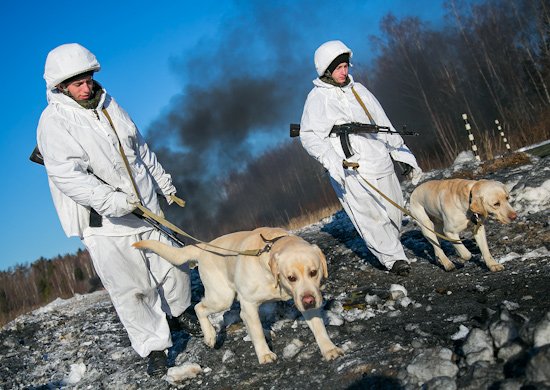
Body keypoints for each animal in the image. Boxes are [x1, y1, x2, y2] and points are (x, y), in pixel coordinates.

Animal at [132, 227, 342, 364]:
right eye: (291, 277)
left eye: (314, 272)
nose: (309, 301)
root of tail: (202, 248)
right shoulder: (248, 304)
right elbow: (256, 332)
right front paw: (264, 354)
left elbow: (318, 327)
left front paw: (329, 349)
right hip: (222, 297)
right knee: (200, 307)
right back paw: (210, 335)